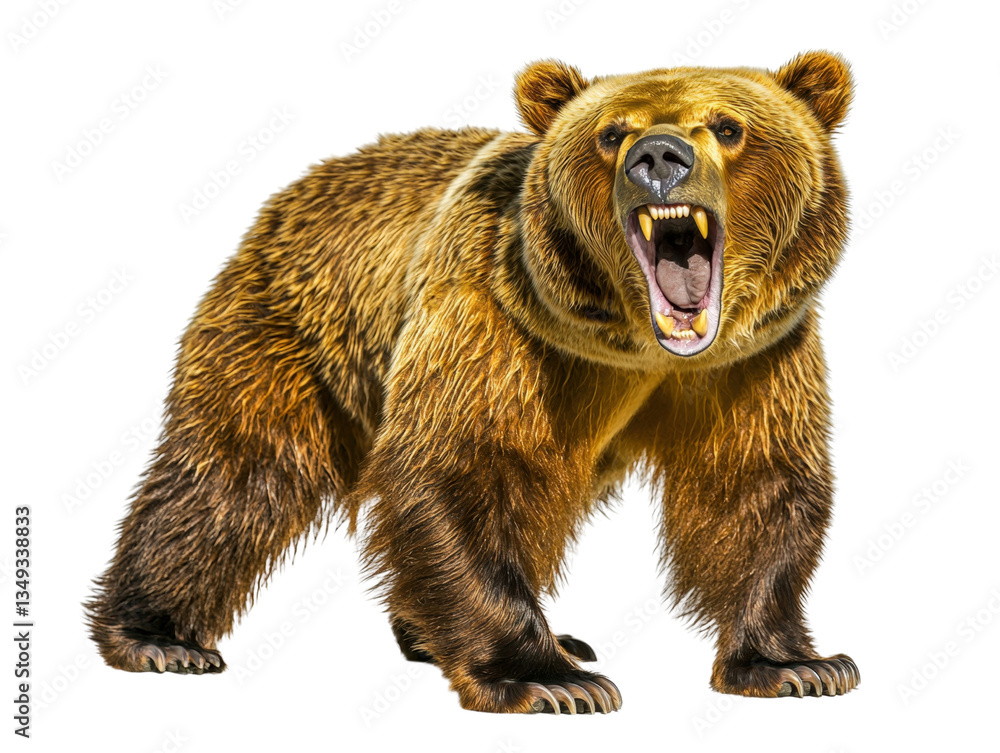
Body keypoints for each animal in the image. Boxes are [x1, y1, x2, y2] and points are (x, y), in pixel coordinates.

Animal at [86, 51, 859, 714]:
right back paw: (158, 637)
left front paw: (795, 664)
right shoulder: (494, 319)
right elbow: (462, 469)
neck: (645, 349)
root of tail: (293, 190)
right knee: (234, 476)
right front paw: (547, 679)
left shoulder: (756, 359)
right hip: (292, 331)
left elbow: (755, 485)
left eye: (728, 127)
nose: (660, 158)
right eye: (612, 134)